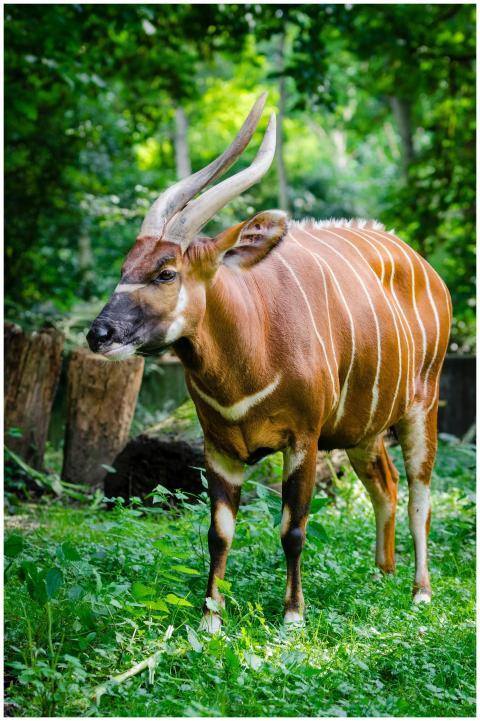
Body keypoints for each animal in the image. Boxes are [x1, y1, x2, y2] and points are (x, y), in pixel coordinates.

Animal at [87, 94, 451, 631]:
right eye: (124, 268)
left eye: (166, 272)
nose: (99, 334)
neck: (249, 358)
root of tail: (426, 267)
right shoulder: (219, 447)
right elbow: (218, 532)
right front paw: (210, 620)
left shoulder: (303, 440)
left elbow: (293, 528)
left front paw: (293, 616)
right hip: (362, 431)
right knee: (384, 484)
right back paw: (381, 576)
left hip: (422, 407)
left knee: (420, 495)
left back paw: (419, 592)